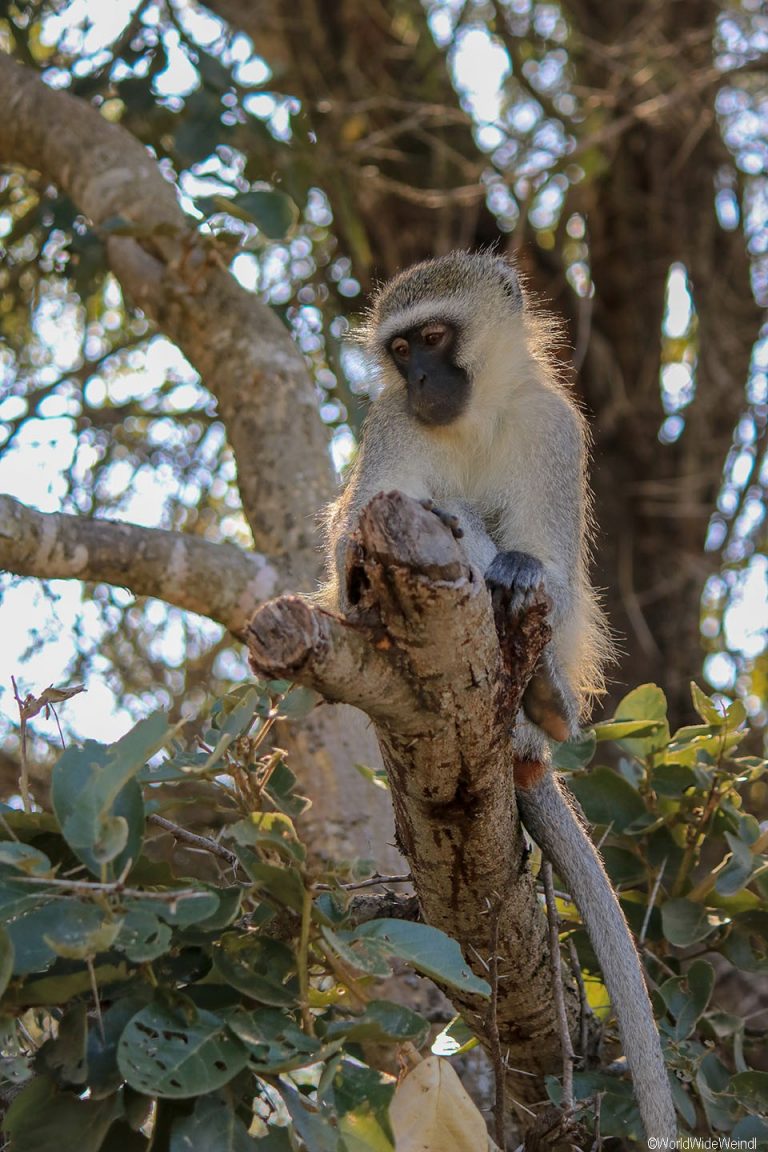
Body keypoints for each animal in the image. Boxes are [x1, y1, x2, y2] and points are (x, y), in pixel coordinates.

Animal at [324, 247, 677, 1138]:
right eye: (399, 350)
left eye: (435, 338)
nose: (420, 383)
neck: (474, 417)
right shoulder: (390, 430)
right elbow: (350, 542)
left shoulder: (556, 430)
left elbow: (551, 561)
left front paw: (516, 568)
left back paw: (545, 695)